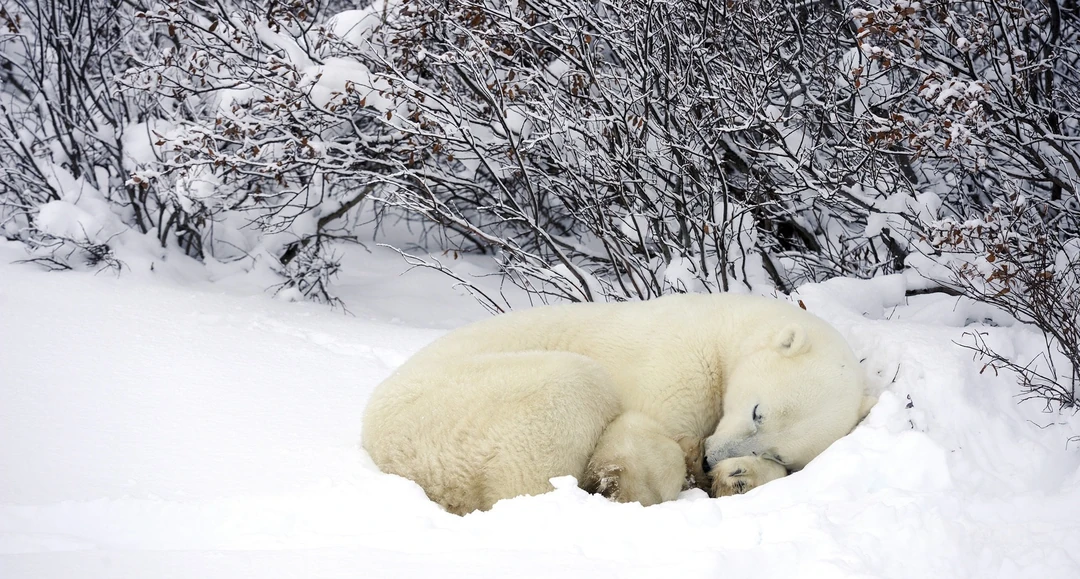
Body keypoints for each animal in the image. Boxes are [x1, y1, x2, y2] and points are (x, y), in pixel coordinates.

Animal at [361, 293, 873, 515]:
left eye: (778, 451)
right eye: (756, 411)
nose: (712, 459)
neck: (724, 329)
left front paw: (739, 477)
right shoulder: (677, 361)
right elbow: (640, 431)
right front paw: (634, 483)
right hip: (453, 409)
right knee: (570, 389)